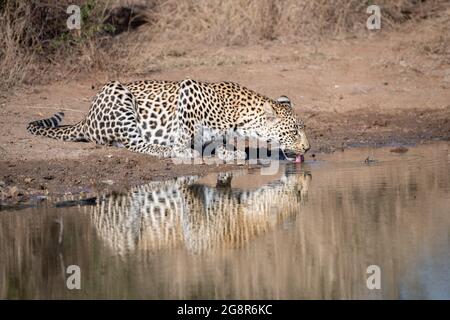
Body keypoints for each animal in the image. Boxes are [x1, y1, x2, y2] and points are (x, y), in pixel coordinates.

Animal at [27, 79, 310, 161]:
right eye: (294, 131)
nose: (308, 149)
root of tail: (86, 117)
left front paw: (228, 152)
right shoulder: (188, 90)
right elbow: (184, 131)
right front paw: (183, 151)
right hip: (118, 93)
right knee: (134, 142)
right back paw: (164, 149)